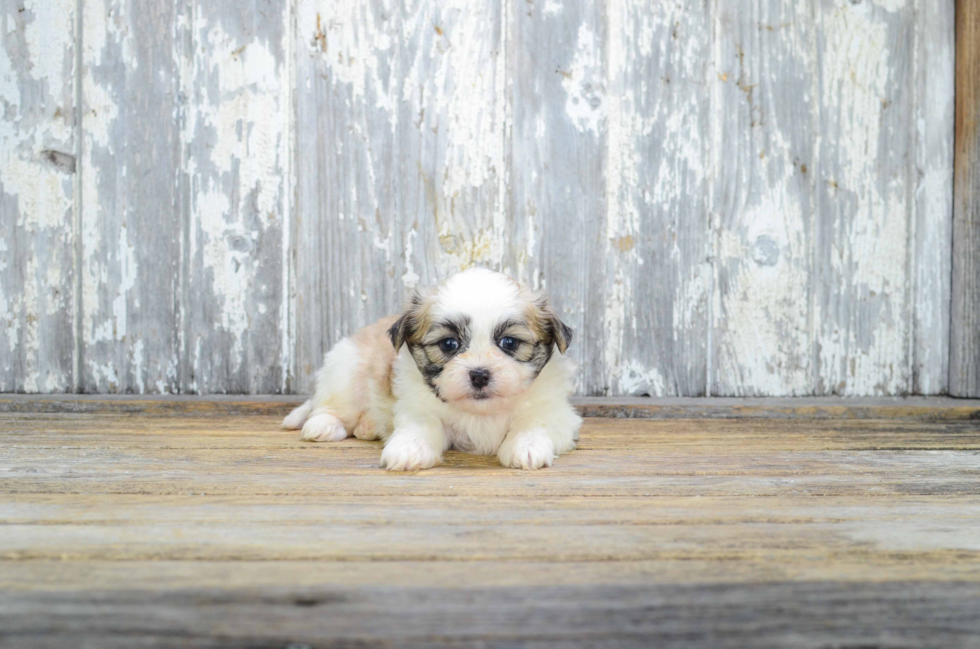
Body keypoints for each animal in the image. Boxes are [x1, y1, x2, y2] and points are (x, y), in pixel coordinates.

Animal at [280, 268, 580, 470]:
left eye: (509, 342)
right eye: (449, 344)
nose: (479, 374)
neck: (481, 412)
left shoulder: (554, 411)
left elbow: (534, 423)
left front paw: (526, 446)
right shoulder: (419, 408)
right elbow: (421, 426)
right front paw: (407, 449)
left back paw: (367, 426)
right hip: (347, 369)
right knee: (331, 406)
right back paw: (324, 425)